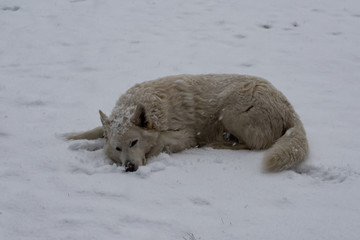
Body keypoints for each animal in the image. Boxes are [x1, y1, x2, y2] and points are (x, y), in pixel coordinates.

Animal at [68, 74, 310, 172]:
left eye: (134, 142)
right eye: (118, 148)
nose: (128, 168)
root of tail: (289, 107)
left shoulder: (185, 136)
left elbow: (161, 142)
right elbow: (93, 131)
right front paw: (69, 137)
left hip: (231, 110)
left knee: (256, 144)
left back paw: (219, 143)